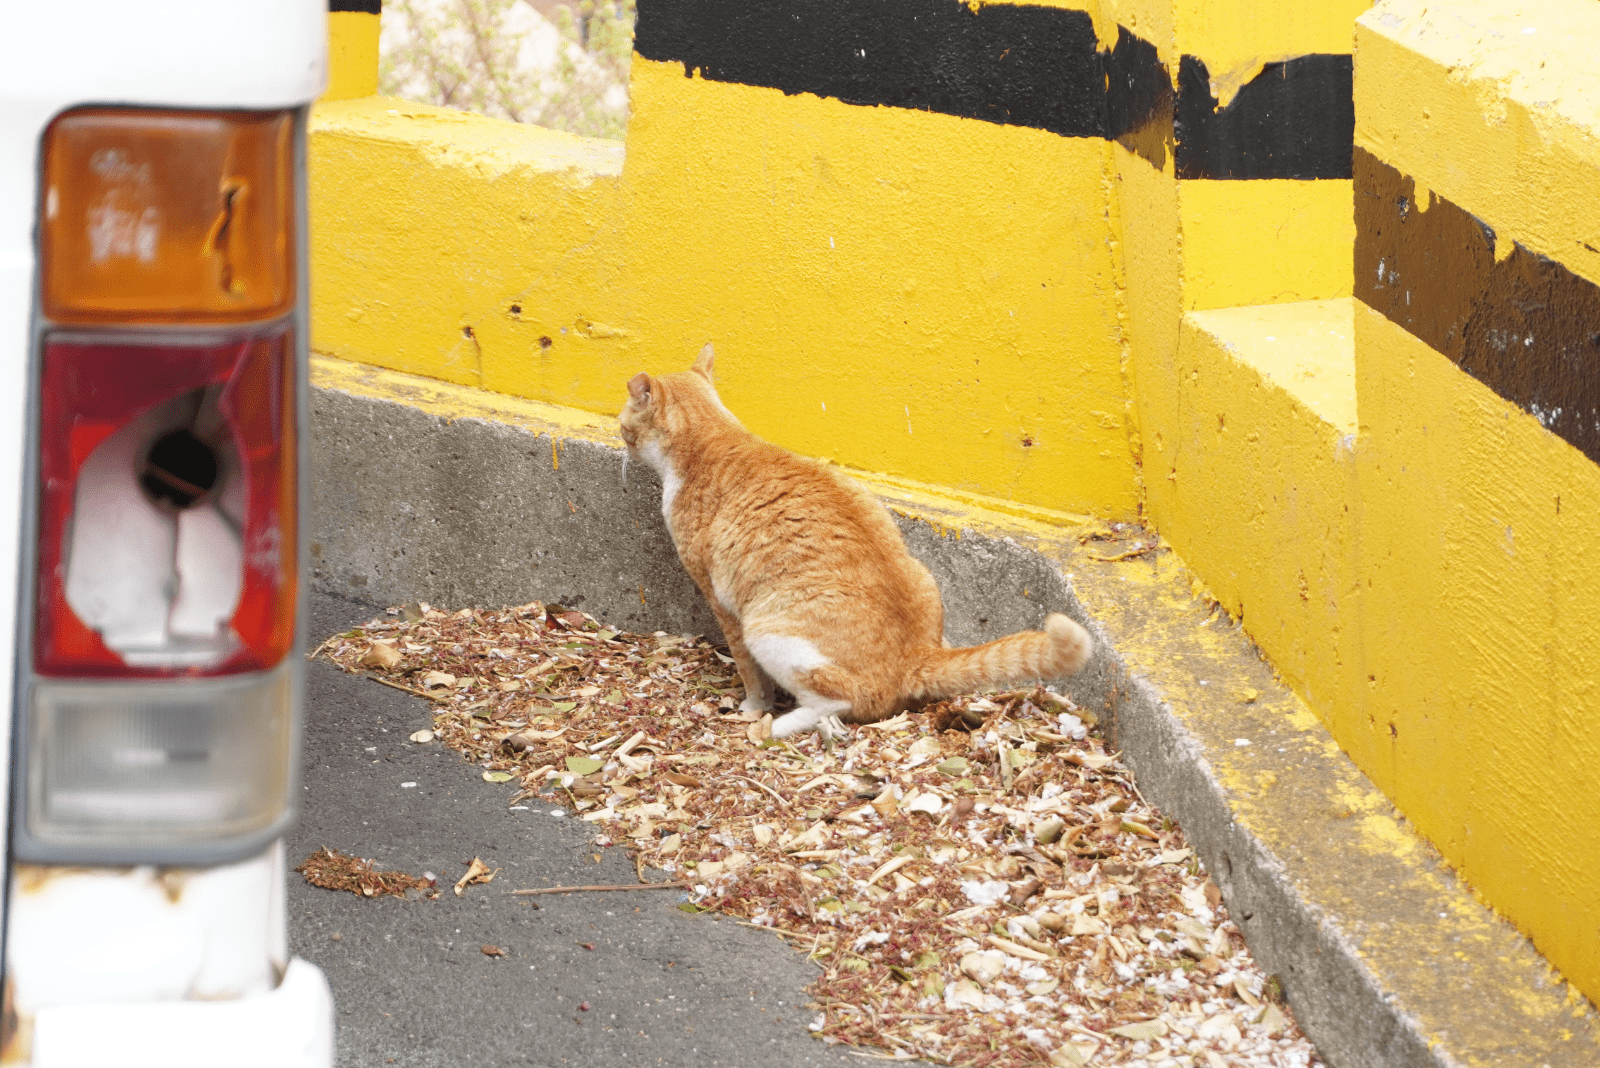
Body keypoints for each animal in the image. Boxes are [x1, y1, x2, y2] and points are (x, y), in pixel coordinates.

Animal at [617, 346, 1094, 738]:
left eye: (622, 425)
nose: (624, 443)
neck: (714, 437)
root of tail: (915, 655)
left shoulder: (721, 602)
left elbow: (749, 674)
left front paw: (753, 707)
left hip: (766, 630)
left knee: (840, 701)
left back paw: (779, 725)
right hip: (922, 573)